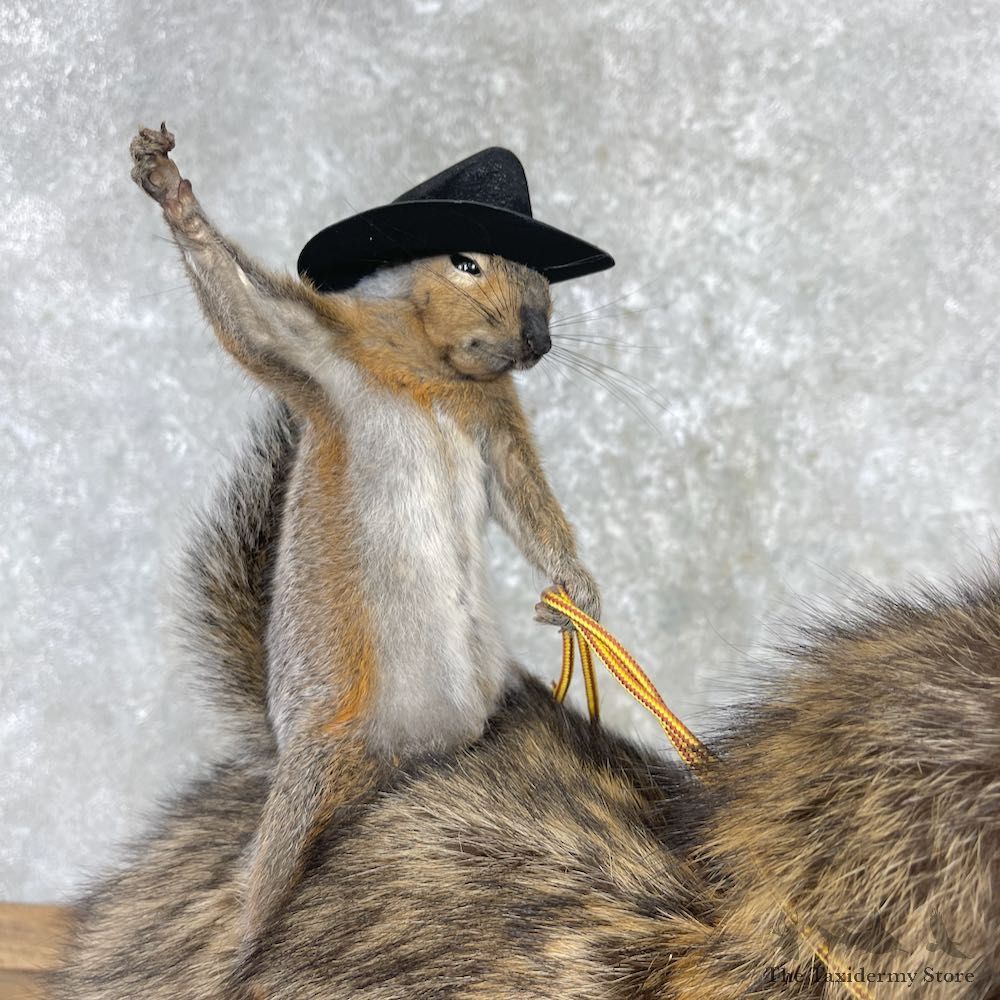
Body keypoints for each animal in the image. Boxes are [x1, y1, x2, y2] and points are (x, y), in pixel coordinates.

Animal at [128, 124, 602, 960]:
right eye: (465, 260)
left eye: (545, 276)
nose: (539, 339)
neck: (434, 366)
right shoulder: (323, 350)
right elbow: (251, 322)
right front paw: (174, 195)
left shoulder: (498, 420)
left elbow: (525, 498)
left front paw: (576, 588)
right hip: (320, 767)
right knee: (270, 878)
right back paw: (247, 945)